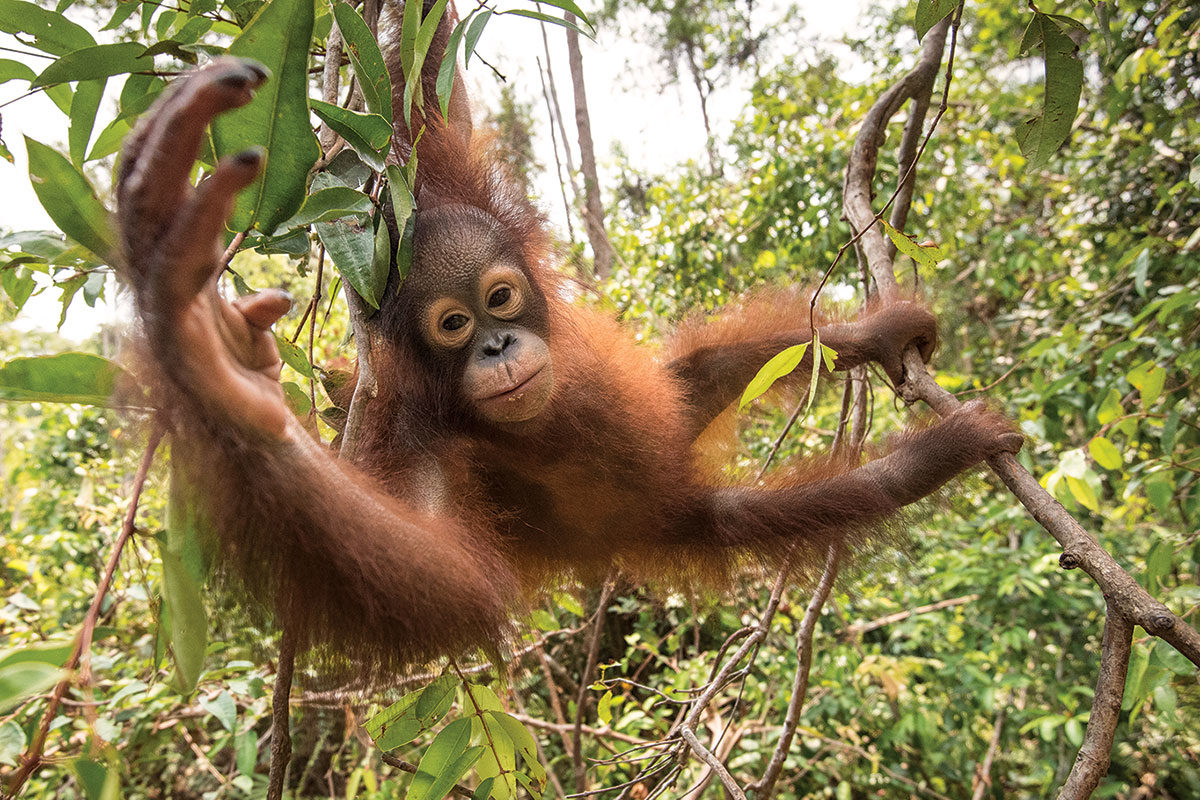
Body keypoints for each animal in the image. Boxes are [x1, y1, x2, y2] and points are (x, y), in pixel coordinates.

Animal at [114, 21, 1021, 677]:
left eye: (498, 299)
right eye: (452, 327)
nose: (497, 346)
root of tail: (667, 486)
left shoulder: (453, 197)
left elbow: (421, 105)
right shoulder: (414, 437)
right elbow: (450, 578)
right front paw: (220, 378)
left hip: (668, 424)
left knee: (696, 374)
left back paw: (875, 339)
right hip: (682, 516)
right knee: (771, 510)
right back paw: (942, 452)